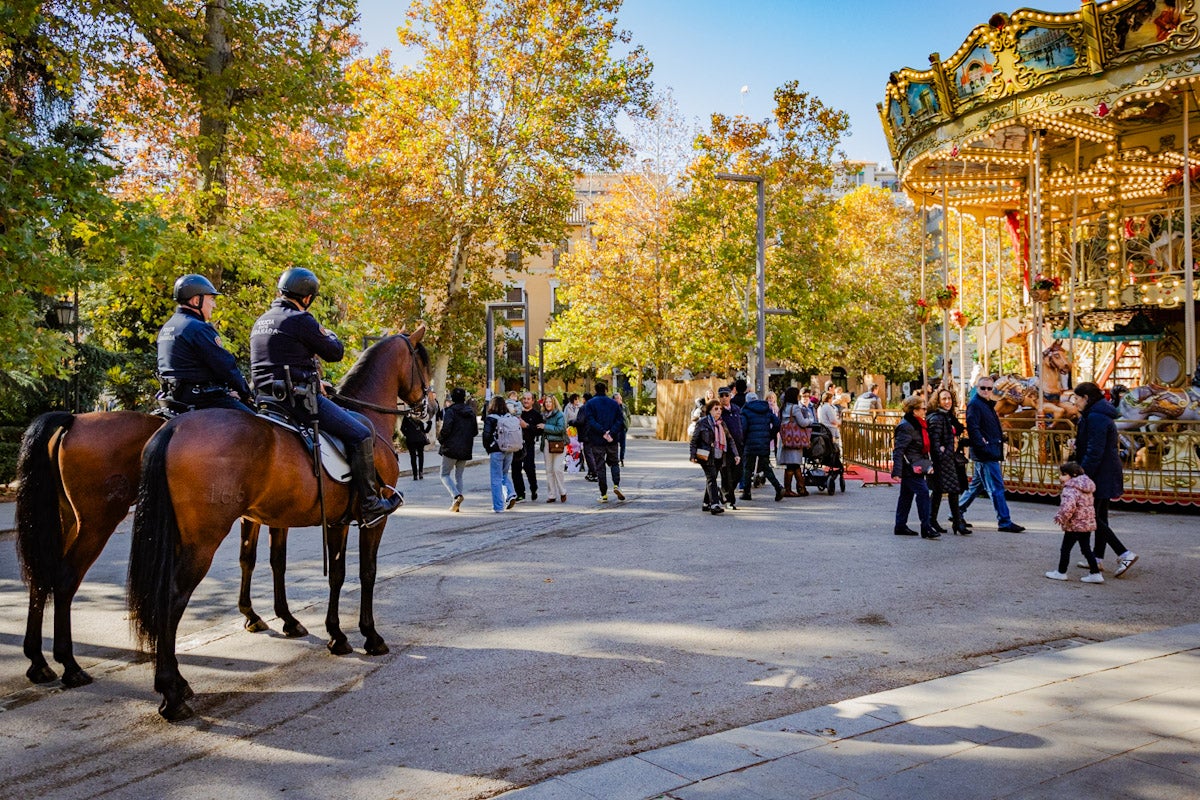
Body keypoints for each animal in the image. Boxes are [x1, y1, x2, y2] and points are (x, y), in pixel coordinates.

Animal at [15, 412, 302, 690]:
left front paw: (251, 614)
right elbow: (275, 561)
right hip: (96, 523)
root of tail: (73, 420)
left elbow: (249, 559)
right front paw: (283, 617)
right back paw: (70, 665)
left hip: (66, 521)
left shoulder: (254, 514)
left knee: (42, 577)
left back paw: (38, 662)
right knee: (65, 580)